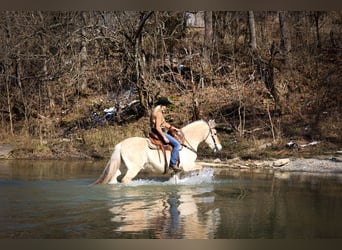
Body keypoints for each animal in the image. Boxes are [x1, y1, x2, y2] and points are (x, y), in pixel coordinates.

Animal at [93, 119, 222, 184]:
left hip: (122, 167)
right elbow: (200, 168)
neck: (186, 142)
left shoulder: (177, 170)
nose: (220, 147)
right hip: (134, 169)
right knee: (125, 180)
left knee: (114, 178)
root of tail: (121, 144)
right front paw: (199, 178)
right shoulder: (187, 166)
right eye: (215, 133)